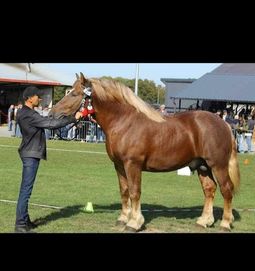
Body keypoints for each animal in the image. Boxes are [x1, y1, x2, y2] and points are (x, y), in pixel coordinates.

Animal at [48, 73, 240, 233]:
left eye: (74, 94)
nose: (51, 114)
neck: (124, 122)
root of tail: (223, 124)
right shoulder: (119, 165)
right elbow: (124, 191)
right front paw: (123, 218)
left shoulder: (132, 164)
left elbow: (135, 191)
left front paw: (134, 223)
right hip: (202, 166)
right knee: (209, 189)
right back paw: (204, 221)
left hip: (218, 165)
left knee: (226, 189)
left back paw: (225, 223)